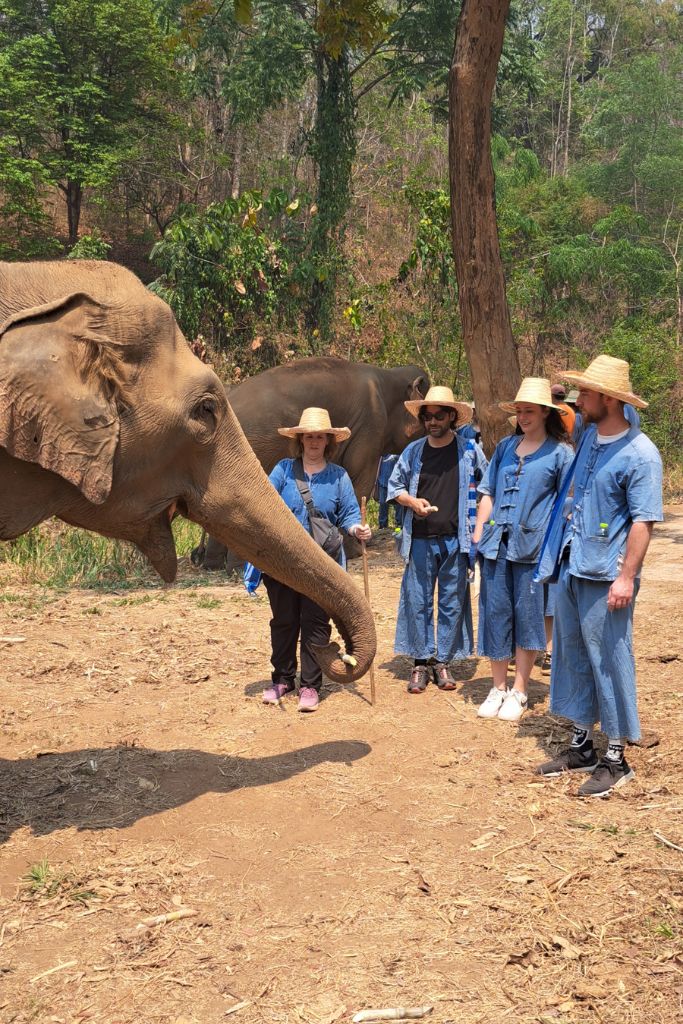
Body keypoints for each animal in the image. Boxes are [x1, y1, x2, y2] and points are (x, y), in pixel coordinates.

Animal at [193, 358, 428, 569]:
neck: (389, 375)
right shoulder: (371, 426)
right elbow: (358, 479)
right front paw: (356, 552)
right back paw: (239, 567)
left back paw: (214, 565)